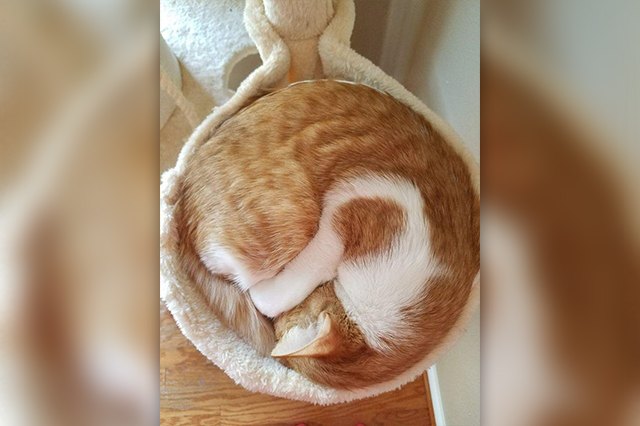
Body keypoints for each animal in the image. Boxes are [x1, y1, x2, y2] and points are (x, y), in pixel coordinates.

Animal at [172, 80, 478, 390]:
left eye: (281, 327)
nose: (275, 326)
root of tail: (181, 206)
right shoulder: (371, 196)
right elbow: (283, 289)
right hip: (294, 220)